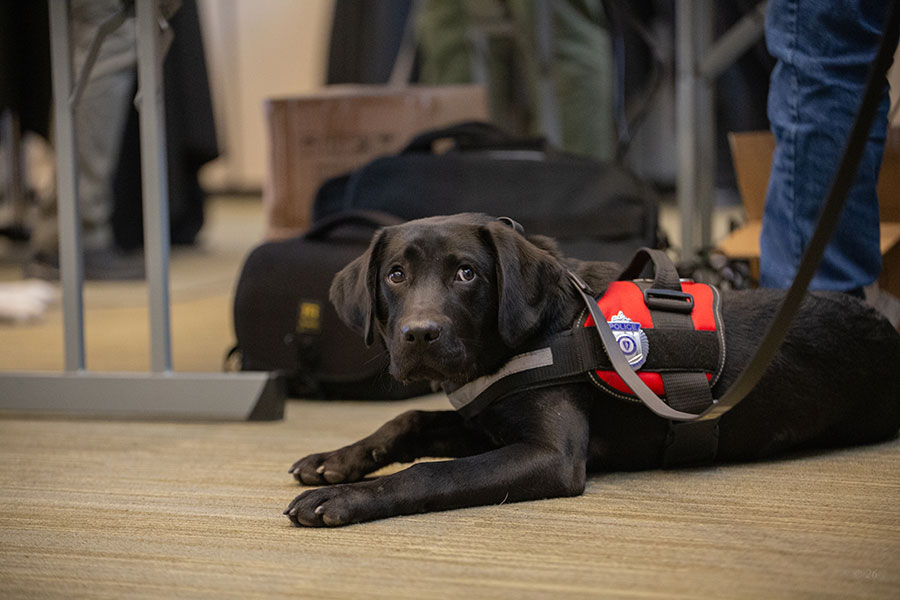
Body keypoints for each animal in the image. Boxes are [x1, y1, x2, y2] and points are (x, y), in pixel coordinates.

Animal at [284, 213, 900, 528]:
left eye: (466, 273)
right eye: (395, 275)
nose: (419, 334)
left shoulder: (550, 457)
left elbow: (431, 474)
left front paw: (347, 499)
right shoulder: (486, 421)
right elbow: (409, 419)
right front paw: (337, 461)